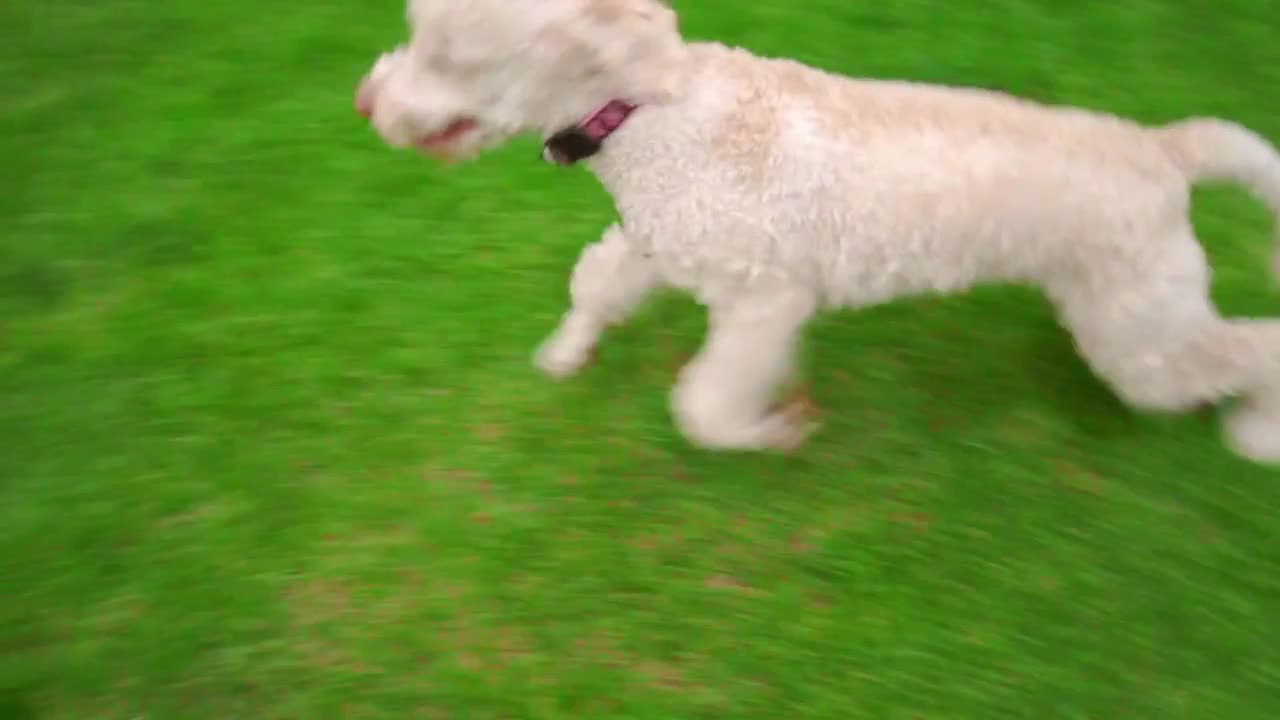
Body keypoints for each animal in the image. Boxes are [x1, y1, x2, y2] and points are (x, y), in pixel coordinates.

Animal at [355, 0, 1280, 458]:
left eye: (450, 55)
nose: (366, 102)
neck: (649, 109)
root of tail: (1164, 148)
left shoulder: (767, 301)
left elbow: (704, 404)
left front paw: (769, 431)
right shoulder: (654, 243)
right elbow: (596, 287)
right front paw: (564, 353)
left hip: (1139, 337)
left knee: (1252, 348)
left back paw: (1256, 436)